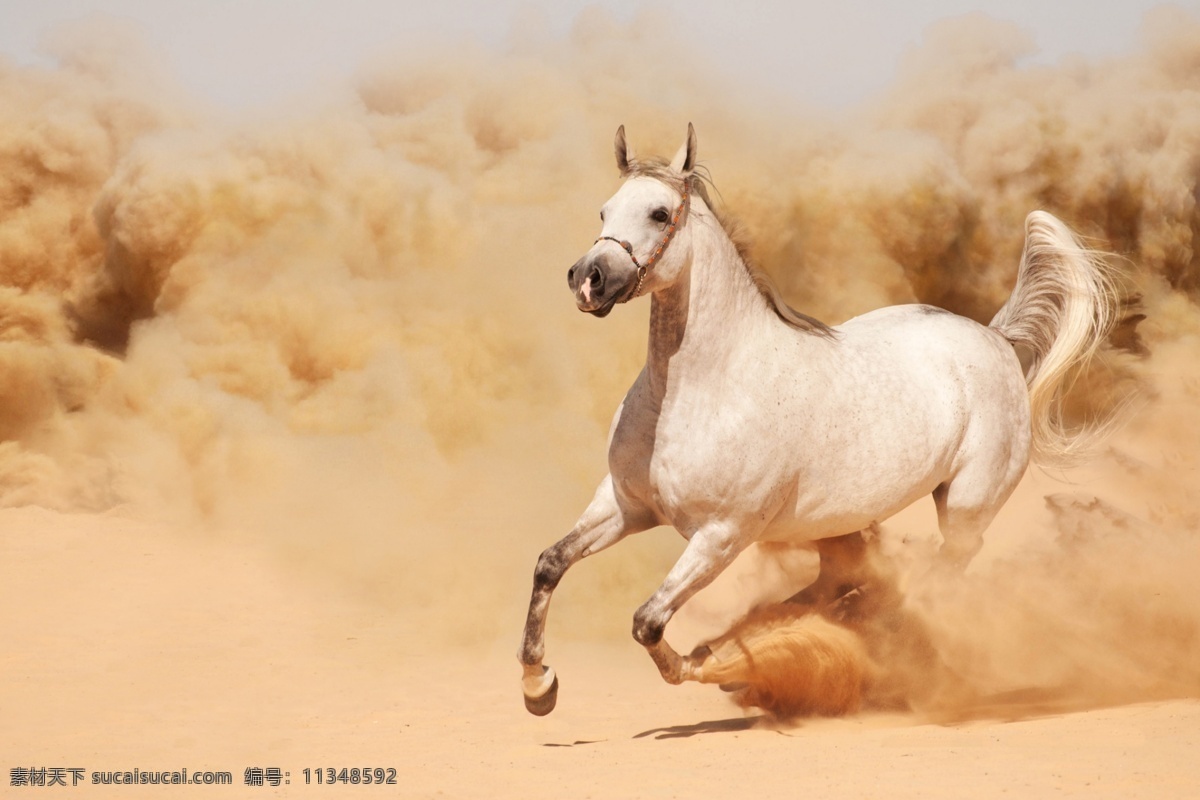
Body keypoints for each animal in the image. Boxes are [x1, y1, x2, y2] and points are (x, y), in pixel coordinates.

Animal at [518, 124, 1120, 716]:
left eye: (659, 214)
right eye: (604, 211)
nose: (588, 279)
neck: (699, 391)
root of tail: (994, 339)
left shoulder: (721, 535)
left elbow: (648, 622)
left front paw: (706, 665)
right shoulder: (625, 505)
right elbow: (550, 563)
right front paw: (538, 685)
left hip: (966, 509)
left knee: (933, 580)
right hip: (843, 526)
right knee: (843, 584)